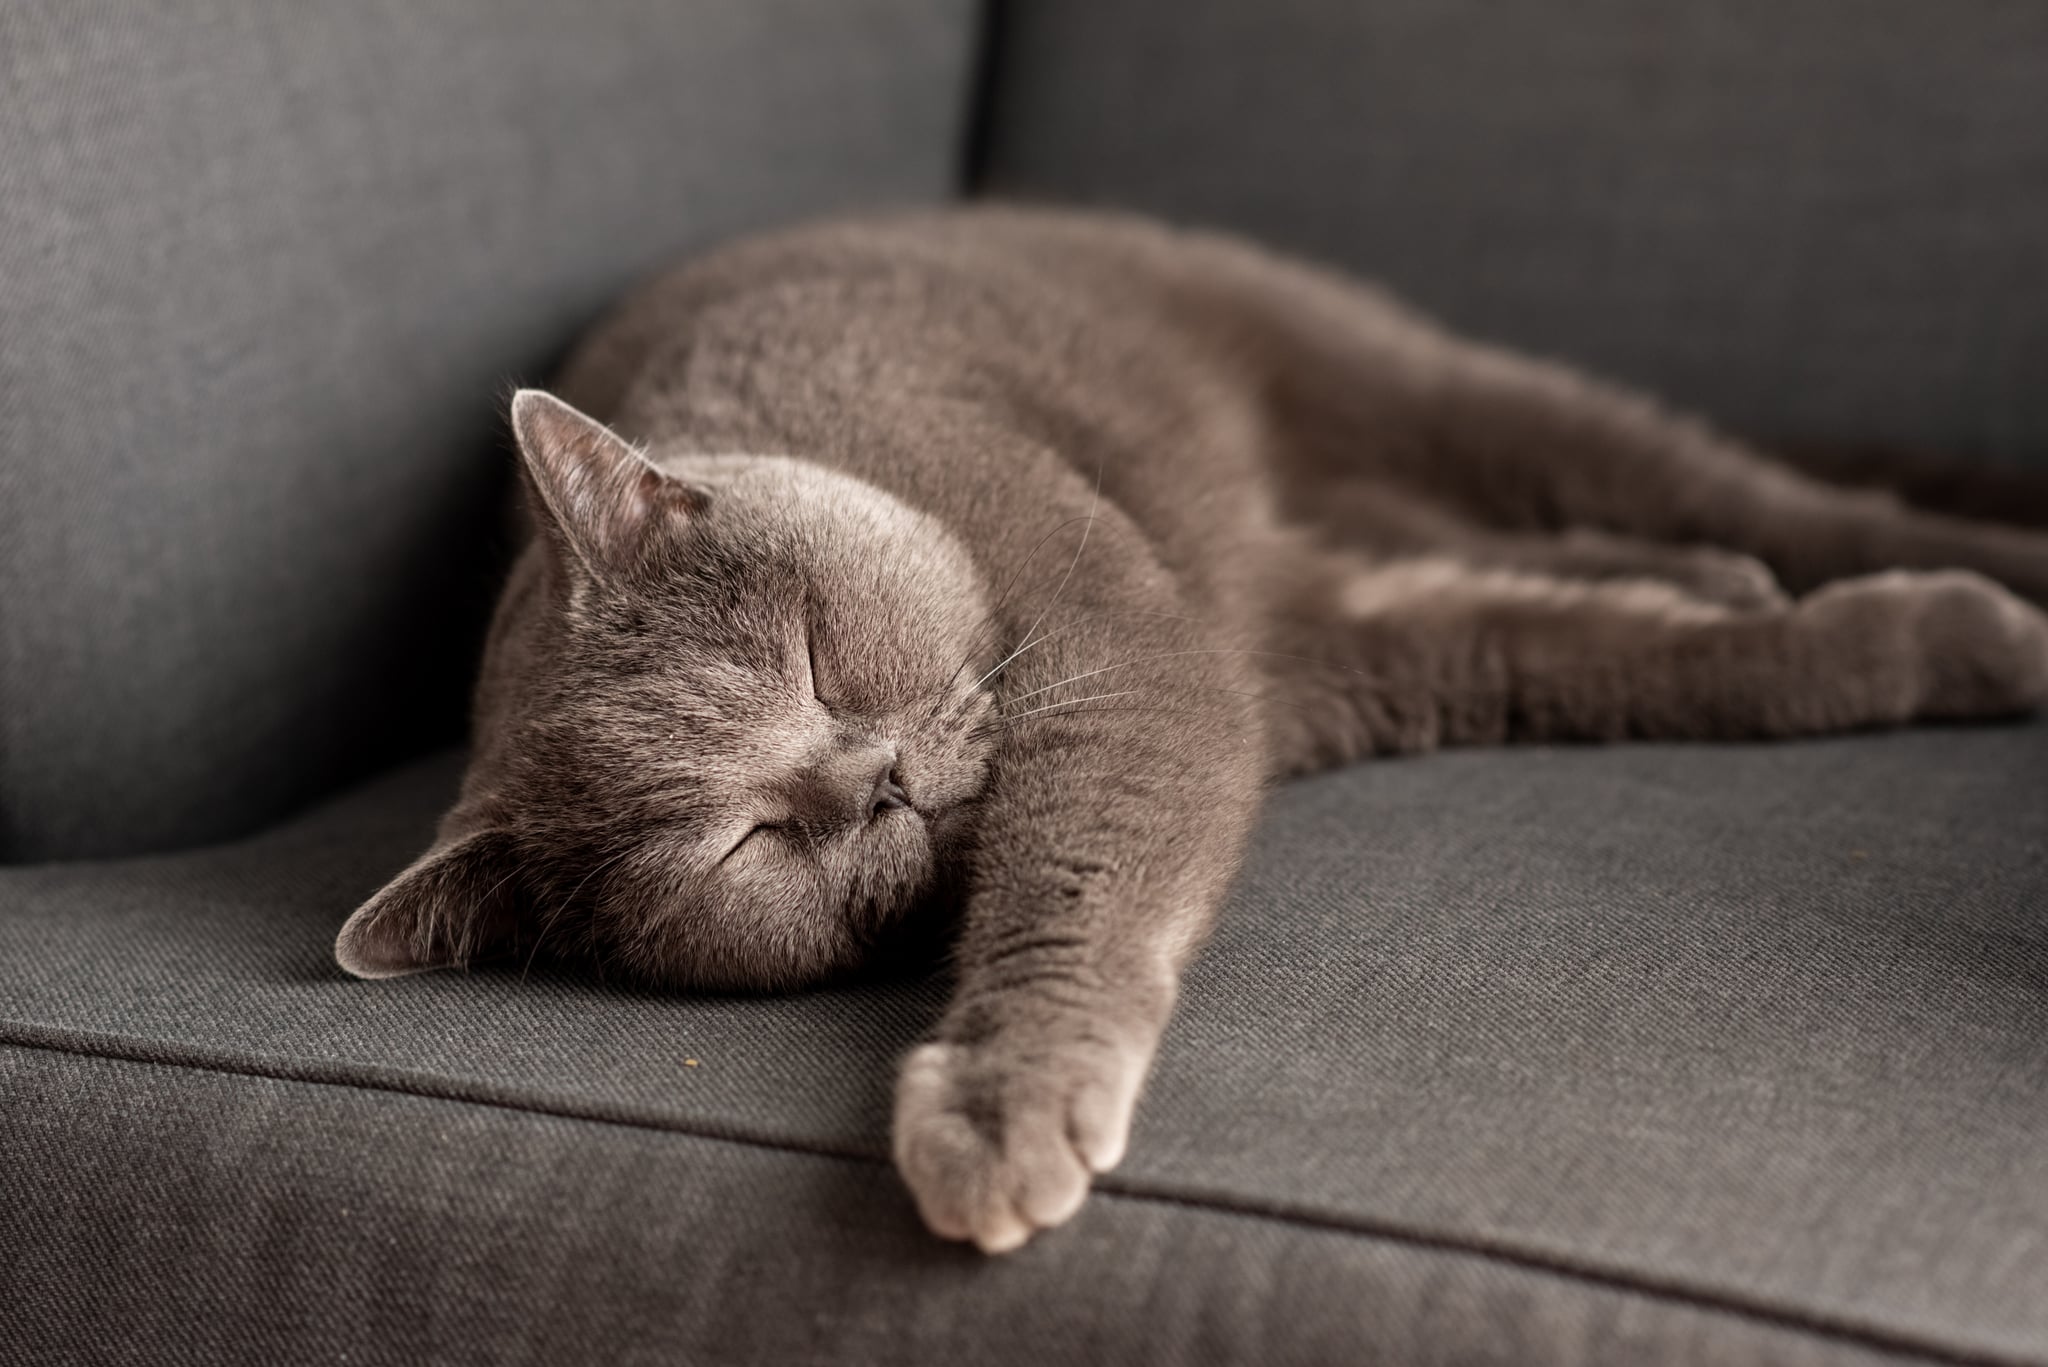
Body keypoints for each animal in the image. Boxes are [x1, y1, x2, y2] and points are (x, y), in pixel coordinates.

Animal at [335, 202, 2048, 1254]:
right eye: (746, 841)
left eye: (812, 655)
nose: (867, 778)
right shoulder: (1327, 650)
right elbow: (1596, 654)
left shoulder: (1123, 648)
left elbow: (1077, 864)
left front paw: (999, 1105)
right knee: (1540, 548)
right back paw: (1719, 576)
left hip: (1405, 375)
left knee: (1743, 487)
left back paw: (1990, 579)